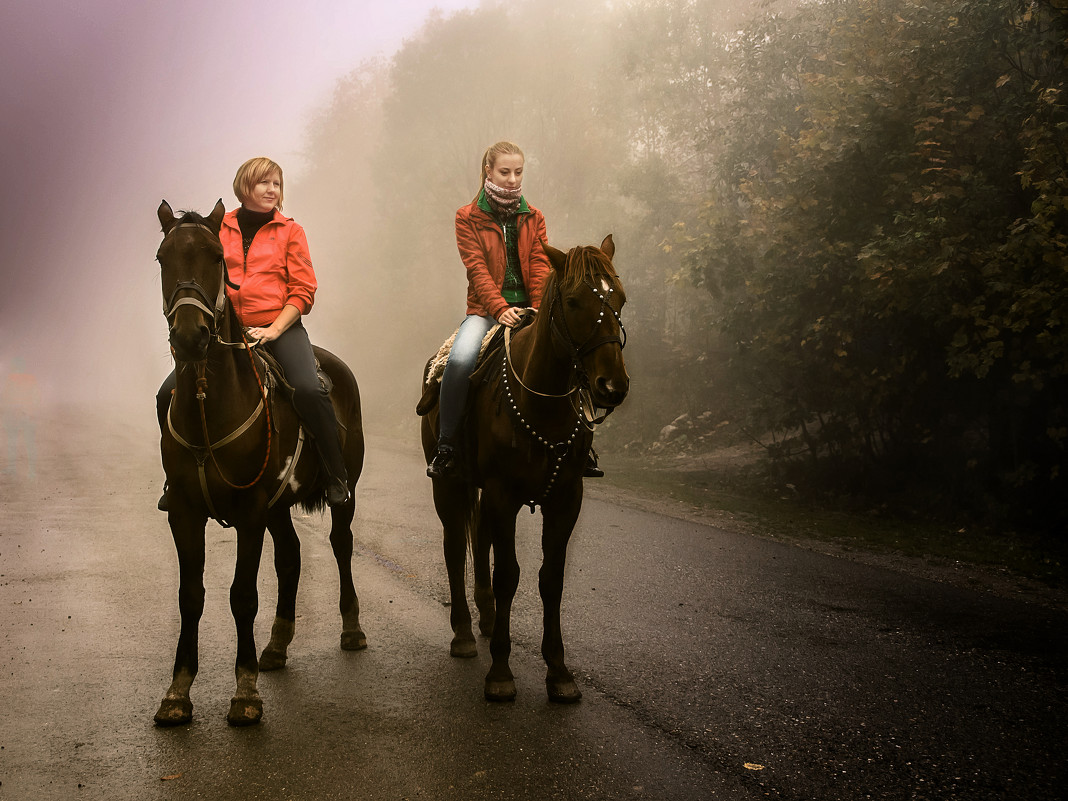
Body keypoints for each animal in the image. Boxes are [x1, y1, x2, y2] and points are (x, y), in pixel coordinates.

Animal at [152, 200, 365, 726]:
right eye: (163, 258)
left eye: (215, 257)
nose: (190, 336)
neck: (210, 406)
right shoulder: (185, 513)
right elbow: (191, 596)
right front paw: (177, 692)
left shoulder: (249, 513)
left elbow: (242, 596)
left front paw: (244, 693)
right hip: (278, 507)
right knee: (290, 557)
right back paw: (276, 645)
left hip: (342, 492)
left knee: (341, 544)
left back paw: (351, 628)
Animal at [418, 233, 632, 700]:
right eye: (573, 301)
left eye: (620, 299)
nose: (612, 386)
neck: (542, 403)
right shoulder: (504, 496)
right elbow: (509, 575)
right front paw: (500, 672)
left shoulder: (566, 499)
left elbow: (550, 579)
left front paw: (559, 672)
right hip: (449, 484)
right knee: (454, 546)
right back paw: (464, 633)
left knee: (478, 537)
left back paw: (484, 617)